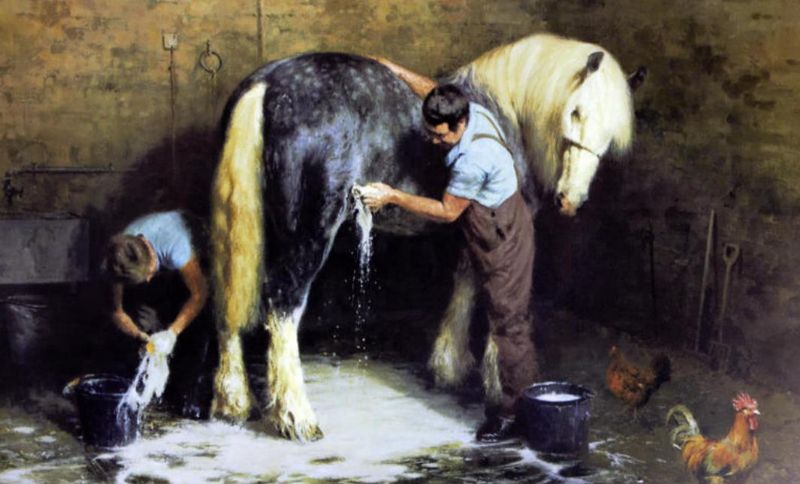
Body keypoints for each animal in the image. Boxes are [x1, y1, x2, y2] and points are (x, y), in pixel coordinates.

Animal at [209, 32, 645, 441]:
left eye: (611, 131)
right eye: (575, 112)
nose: (570, 200)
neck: (504, 115)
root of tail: (268, 84)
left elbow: (465, 285)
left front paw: (449, 366)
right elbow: (494, 298)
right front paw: (492, 383)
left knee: (231, 297)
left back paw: (233, 402)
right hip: (311, 232)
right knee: (282, 303)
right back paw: (296, 416)